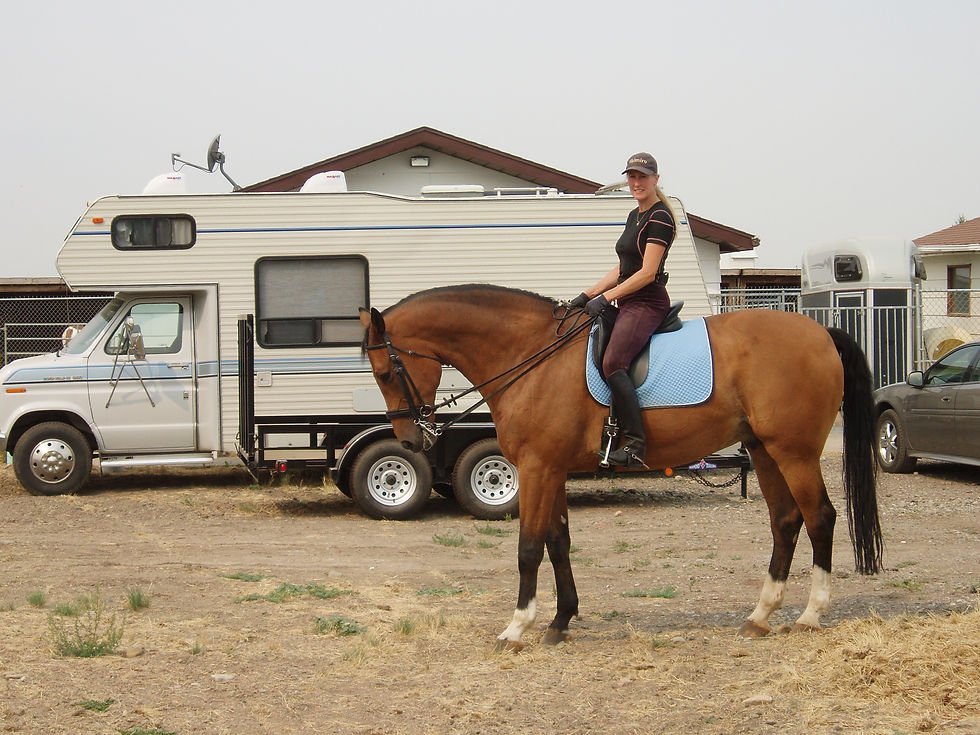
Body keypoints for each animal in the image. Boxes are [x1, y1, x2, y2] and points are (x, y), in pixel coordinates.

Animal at [360, 284, 882, 649]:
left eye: (385, 372)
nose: (409, 440)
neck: (530, 356)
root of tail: (821, 332)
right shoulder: (551, 469)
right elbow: (558, 543)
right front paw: (561, 621)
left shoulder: (536, 469)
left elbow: (529, 547)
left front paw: (517, 627)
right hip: (764, 450)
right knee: (786, 521)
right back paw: (760, 616)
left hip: (794, 452)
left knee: (820, 518)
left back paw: (811, 614)